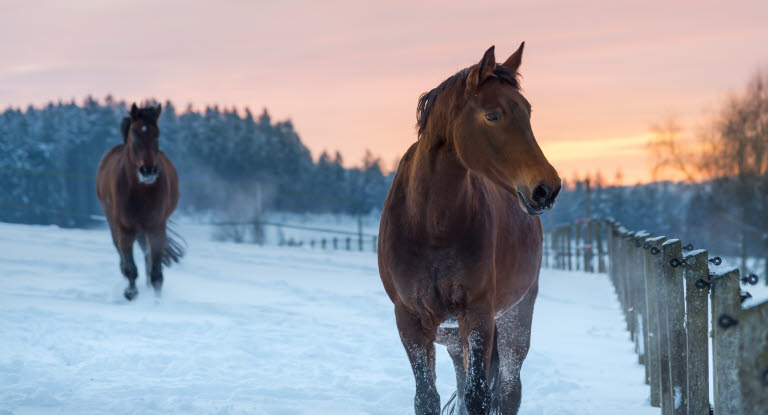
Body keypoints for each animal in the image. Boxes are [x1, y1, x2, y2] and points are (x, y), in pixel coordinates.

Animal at [97, 102, 184, 300]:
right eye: (135, 133)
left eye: (157, 133)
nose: (148, 170)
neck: (140, 192)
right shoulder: (125, 229)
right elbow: (130, 268)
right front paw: (131, 293)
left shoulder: (156, 227)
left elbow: (156, 273)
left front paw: (157, 301)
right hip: (115, 225)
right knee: (124, 258)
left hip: (144, 230)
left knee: (147, 257)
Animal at [380, 44, 560, 414]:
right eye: (492, 115)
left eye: (528, 112)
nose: (546, 189)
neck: (432, 225)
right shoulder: (410, 320)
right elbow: (428, 398)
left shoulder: (477, 314)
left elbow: (479, 397)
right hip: (451, 337)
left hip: (513, 319)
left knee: (508, 390)